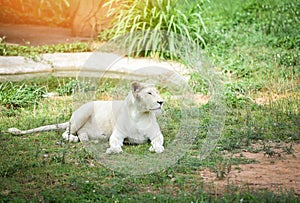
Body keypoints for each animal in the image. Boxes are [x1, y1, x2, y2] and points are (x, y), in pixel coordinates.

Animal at [7, 82, 164, 154]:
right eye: (149, 93)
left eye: (157, 92)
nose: (161, 101)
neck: (139, 115)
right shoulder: (117, 135)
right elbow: (114, 143)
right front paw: (114, 150)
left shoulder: (157, 134)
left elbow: (158, 142)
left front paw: (156, 148)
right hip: (82, 114)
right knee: (66, 133)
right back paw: (73, 138)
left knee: (81, 134)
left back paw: (87, 139)